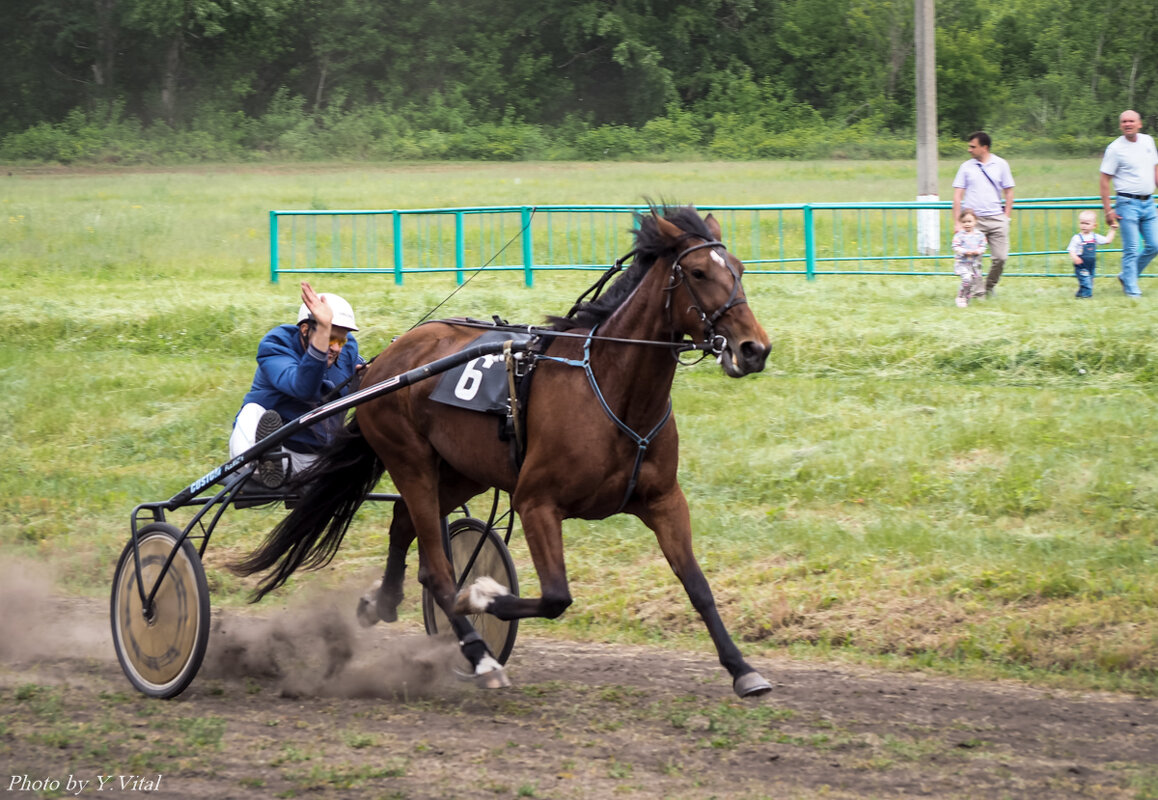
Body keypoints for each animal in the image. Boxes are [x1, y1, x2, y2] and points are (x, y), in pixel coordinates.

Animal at [230, 204, 773, 694]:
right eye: (699, 272)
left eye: (740, 269)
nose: (754, 349)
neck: (612, 390)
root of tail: (385, 360)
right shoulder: (536, 502)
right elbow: (554, 597)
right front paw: (481, 594)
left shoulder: (664, 501)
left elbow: (698, 586)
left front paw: (743, 670)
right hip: (409, 458)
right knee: (437, 567)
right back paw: (479, 654)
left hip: (462, 470)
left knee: (405, 526)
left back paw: (381, 603)